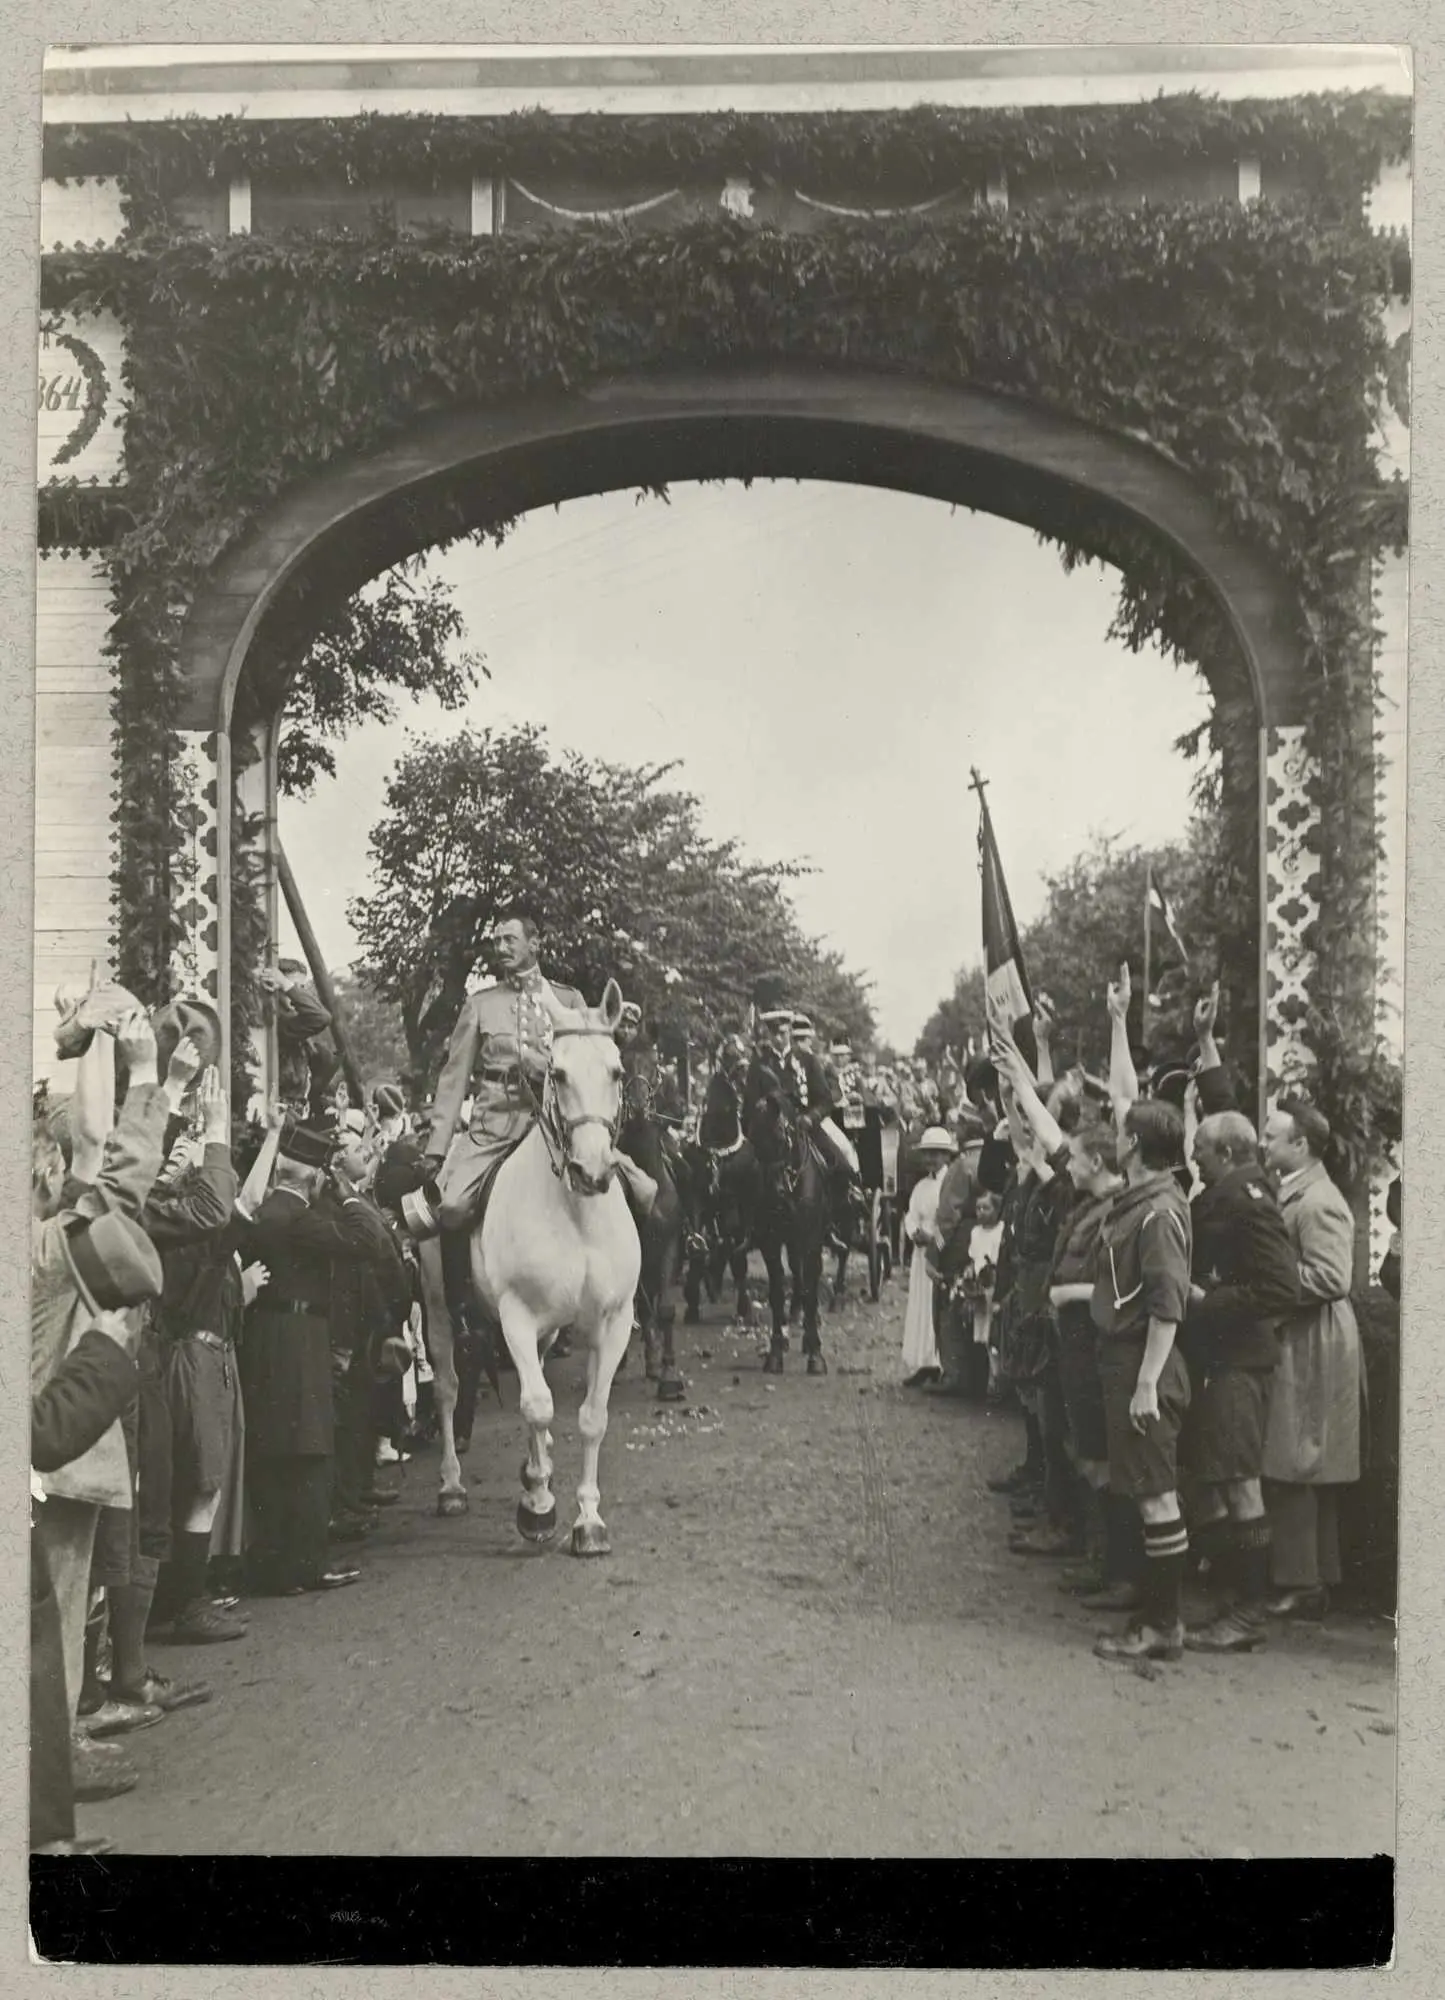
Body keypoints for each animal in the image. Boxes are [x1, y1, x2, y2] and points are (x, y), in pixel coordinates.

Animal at [416, 978, 641, 1554]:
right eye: (557, 1073)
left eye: (617, 1071)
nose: (591, 1171)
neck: (576, 1214)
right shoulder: (515, 1316)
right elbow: (538, 1405)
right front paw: (538, 1509)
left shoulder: (612, 1322)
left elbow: (591, 1417)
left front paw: (587, 1520)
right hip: (439, 1310)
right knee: (448, 1385)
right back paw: (452, 1487)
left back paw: (534, 1468)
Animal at [746, 1075, 831, 1375]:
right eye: (753, 1139)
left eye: (783, 1138)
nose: (775, 1192)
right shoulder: (769, 1240)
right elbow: (776, 1290)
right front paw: (774, 1352)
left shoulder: (811, 1238)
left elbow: (811, 1289)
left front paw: (816, 1354)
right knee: (796, 1273)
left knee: (806, 1277)